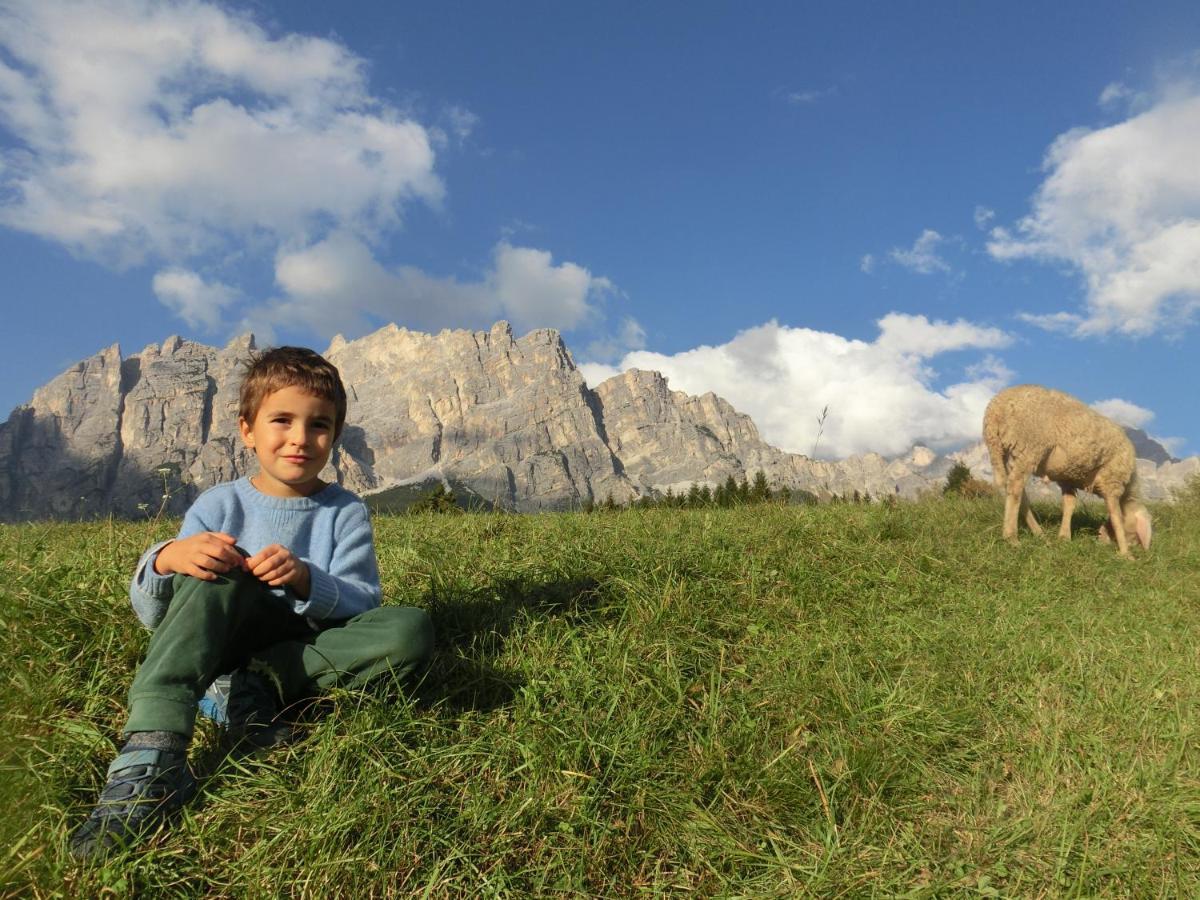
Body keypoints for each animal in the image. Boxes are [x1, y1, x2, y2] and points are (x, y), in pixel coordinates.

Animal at [984, 386, 1152, 556]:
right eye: (1137, 537)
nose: (1101, 538)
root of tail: (996, 408)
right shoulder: (1112, 482)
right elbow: (1116, 516)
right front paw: (1126, 554)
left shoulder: (1068, 478)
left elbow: (1069, 504)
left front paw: (1064, 537)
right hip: (1030, 447)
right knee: (1015, 487)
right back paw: (1011, 537)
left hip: (1005, 450)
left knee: (1013, 488)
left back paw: (1040, 534)